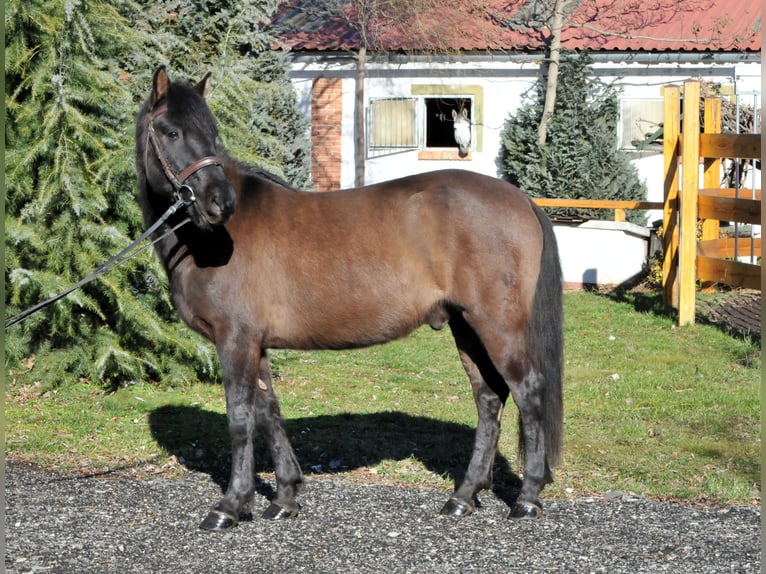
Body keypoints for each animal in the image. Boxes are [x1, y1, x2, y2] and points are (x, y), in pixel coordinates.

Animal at [135, 68, 564, 536]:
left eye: (211, 133)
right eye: (171, 131)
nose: (220, 203)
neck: (208, 242)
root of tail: (521, 199)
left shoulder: (235, 339)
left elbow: (240, 419)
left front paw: (231, 505)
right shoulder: (254, 344)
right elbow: (268, 412)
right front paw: (285, 497)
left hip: (497, 324)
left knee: (528, 391)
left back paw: (527, 498)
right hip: (465, 326)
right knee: (489, 399)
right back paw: (463, 497)